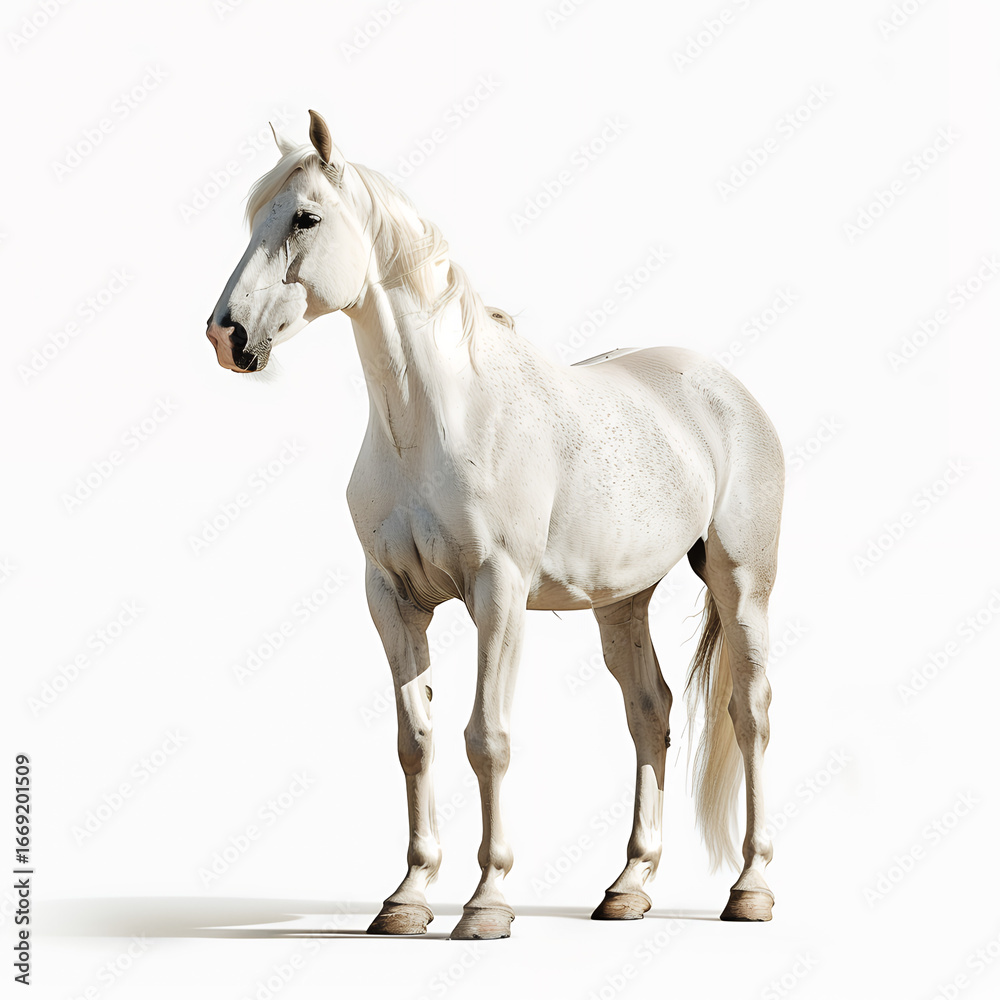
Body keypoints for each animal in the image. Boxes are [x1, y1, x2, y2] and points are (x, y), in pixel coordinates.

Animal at [205, 110, 785, 939]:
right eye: (252, 217)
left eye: (306, 218)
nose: (226, 336)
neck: (436, 417)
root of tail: (723, 388)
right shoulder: (391, 600)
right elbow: (416, 739)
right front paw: (407, 898)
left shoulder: (498, 594)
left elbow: (487, 739)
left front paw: (486, 904)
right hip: (622, 603)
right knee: (651, 713)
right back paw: (627, 888)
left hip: (744, 586)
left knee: (750, 713)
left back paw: (751, 889)